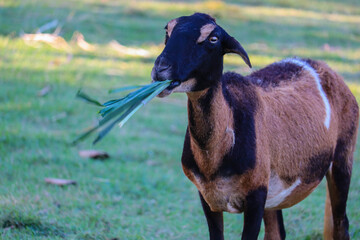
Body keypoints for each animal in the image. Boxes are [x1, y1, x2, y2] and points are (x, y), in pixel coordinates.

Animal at [151, 13, 358, 240]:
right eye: (167, 31)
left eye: (213, 39)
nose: (161, 69)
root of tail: (324, 67)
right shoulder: (207, 197)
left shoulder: (256, 196)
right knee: (277, 232)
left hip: (342, 158)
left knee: (341, 223)